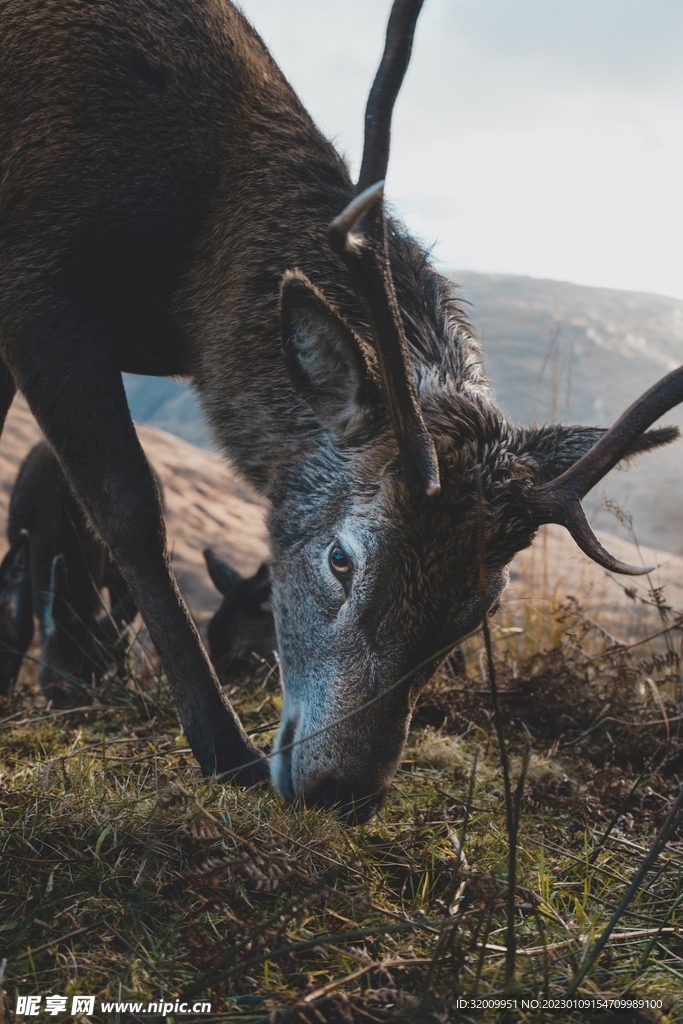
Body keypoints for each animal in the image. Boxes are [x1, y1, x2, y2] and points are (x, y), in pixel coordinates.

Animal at [1, 0, 681, 821]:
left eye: (485, 605)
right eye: (339, 557)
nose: (342, 792)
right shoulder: (37, 288)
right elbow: (130, 508)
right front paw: (224, 751)